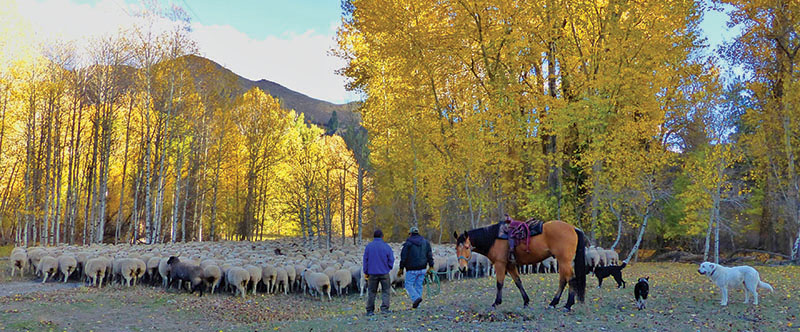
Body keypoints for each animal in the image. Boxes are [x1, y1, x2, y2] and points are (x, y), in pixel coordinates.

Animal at [456, 220, 588, 312]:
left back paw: (568, 305)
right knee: (563, 281)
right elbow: (518, 282)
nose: (462, 268)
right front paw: (526, 301)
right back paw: (553, 303)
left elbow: (499, 284)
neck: (494, 238)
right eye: (456, 248)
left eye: (466, 247)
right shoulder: (510, 265)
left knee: (571, 279)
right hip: (562, 262)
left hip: (564, 261)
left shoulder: (500, 264)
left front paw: (496, 303)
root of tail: (573, 228)